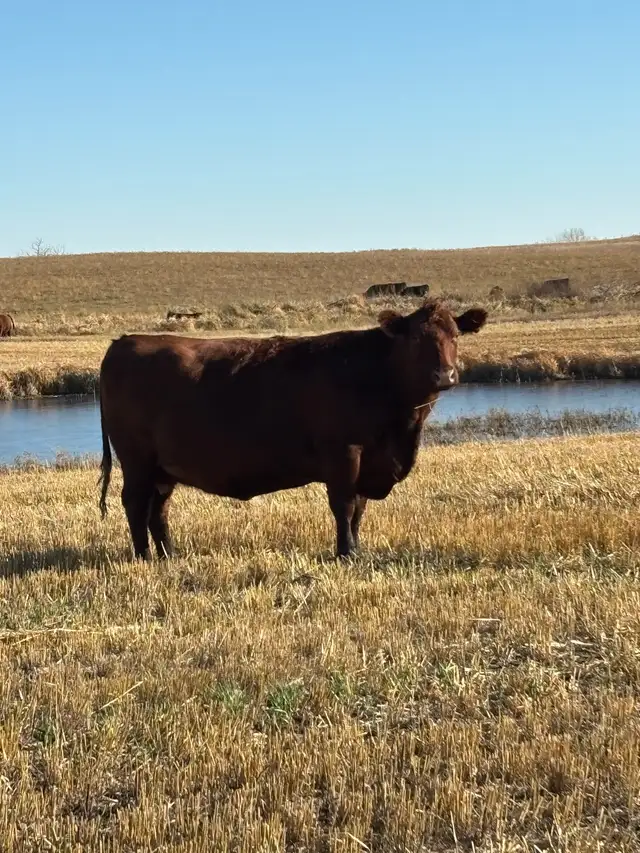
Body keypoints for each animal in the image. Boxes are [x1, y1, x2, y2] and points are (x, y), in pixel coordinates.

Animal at [98, 298, 488, 561]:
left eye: (456, 335)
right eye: (415, 340)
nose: (445, 375)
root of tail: (124, 341)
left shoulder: (368, 461)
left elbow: (359, 508)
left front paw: (357, 548)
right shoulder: (343, 453)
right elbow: (344, 505)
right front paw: (346, 554)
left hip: (164, 467)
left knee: (158, 508)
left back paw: (170, 554)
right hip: (137, 459)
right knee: (135, 502)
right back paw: (144, 557)